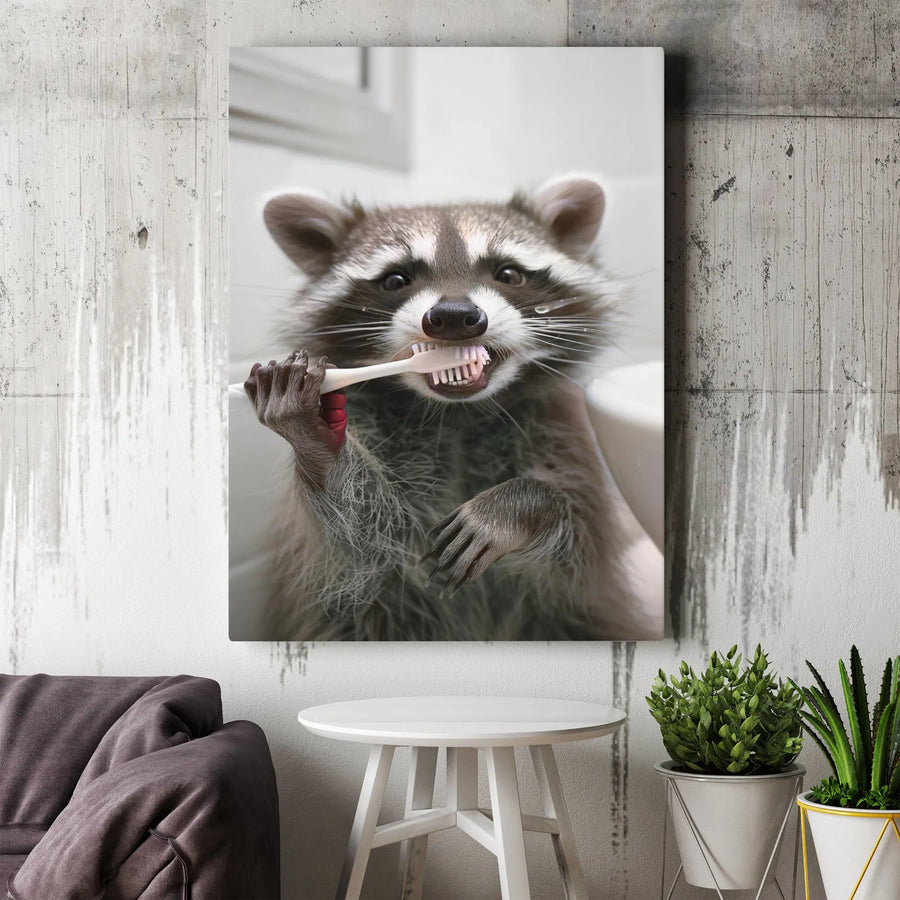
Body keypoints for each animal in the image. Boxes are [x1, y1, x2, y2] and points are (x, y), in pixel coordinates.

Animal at [244, 175, 641, 641]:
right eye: (396, 279)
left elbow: (578, 545)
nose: (453, 316)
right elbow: (362, 544)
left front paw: (519, 505)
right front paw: (318, 445)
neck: (457, 415)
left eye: (508, 273)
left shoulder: (563, 435)